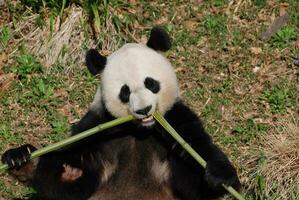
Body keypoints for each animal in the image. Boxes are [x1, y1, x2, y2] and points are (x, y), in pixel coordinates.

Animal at [1, 27, 241, 200]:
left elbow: (193, 177)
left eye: (151, 83)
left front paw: (219, 175)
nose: (143, 110)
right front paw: (27, 160)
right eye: (125, 92)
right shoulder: (96, 129)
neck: (141, 130)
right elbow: (65, 182)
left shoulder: (176, 119)